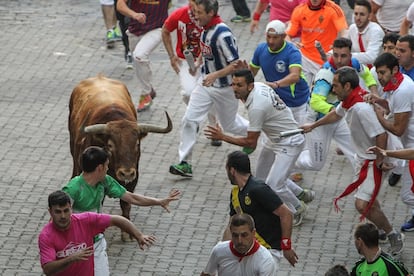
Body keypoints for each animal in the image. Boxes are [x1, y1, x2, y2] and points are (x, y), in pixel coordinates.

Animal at [68, 75, 172, 237]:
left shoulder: (134, 177)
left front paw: (127, 232)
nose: (126, 173)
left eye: (137, 144)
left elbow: (126, 202)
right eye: (111, 145)